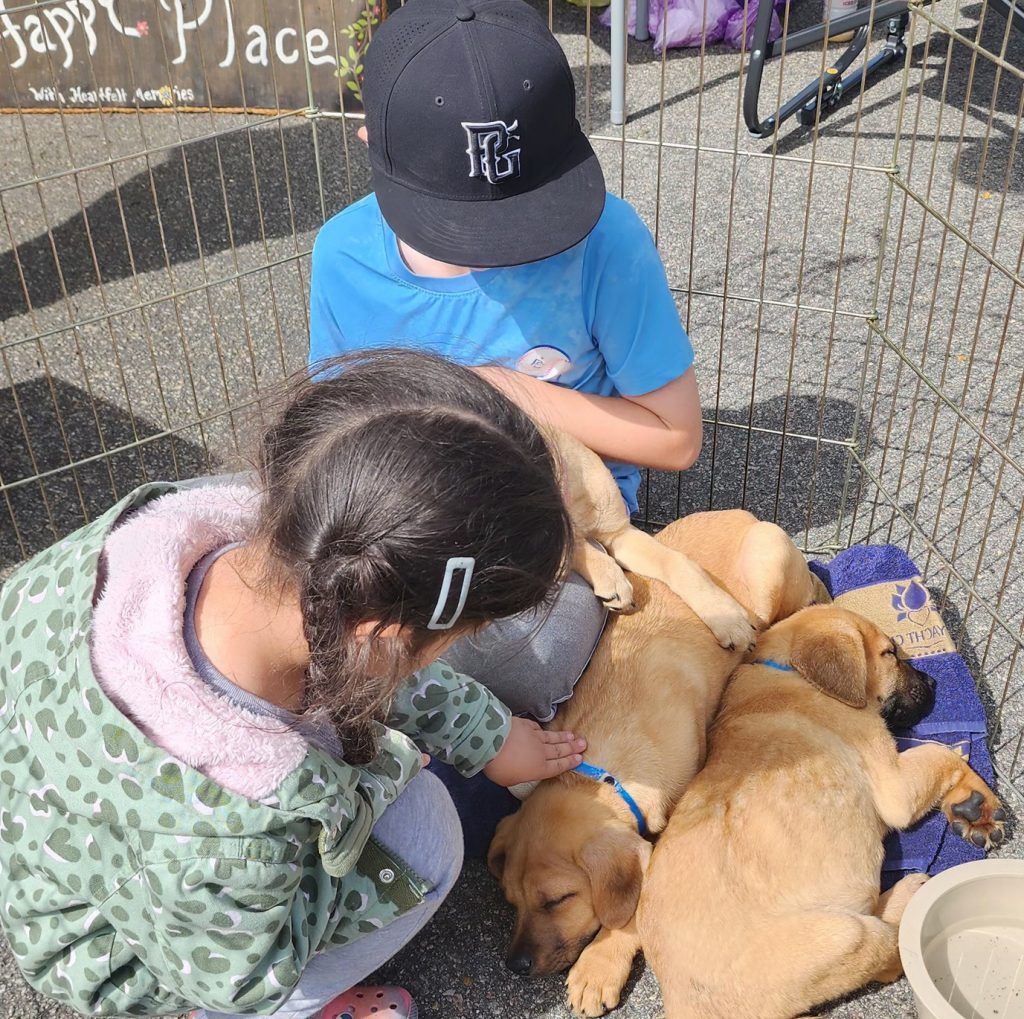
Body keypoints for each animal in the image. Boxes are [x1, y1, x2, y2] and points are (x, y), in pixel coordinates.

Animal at [488, 509, 824, 1017]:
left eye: (558, 899)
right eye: (512, 901)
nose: (515, 966)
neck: (600, 770)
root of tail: (743, 513)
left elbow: (633, 909)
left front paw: (599, 966)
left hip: (770, 569)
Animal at [638, 604, 1007, 1019]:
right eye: (889, 654)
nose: (932, 681)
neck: (792, 672)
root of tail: (677, 998)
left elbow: (942, 758)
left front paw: (971, 808)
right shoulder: (894, 784)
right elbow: (941, 753)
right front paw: (978, 800)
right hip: (844, 936)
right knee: (886, 951)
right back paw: (908, 892)